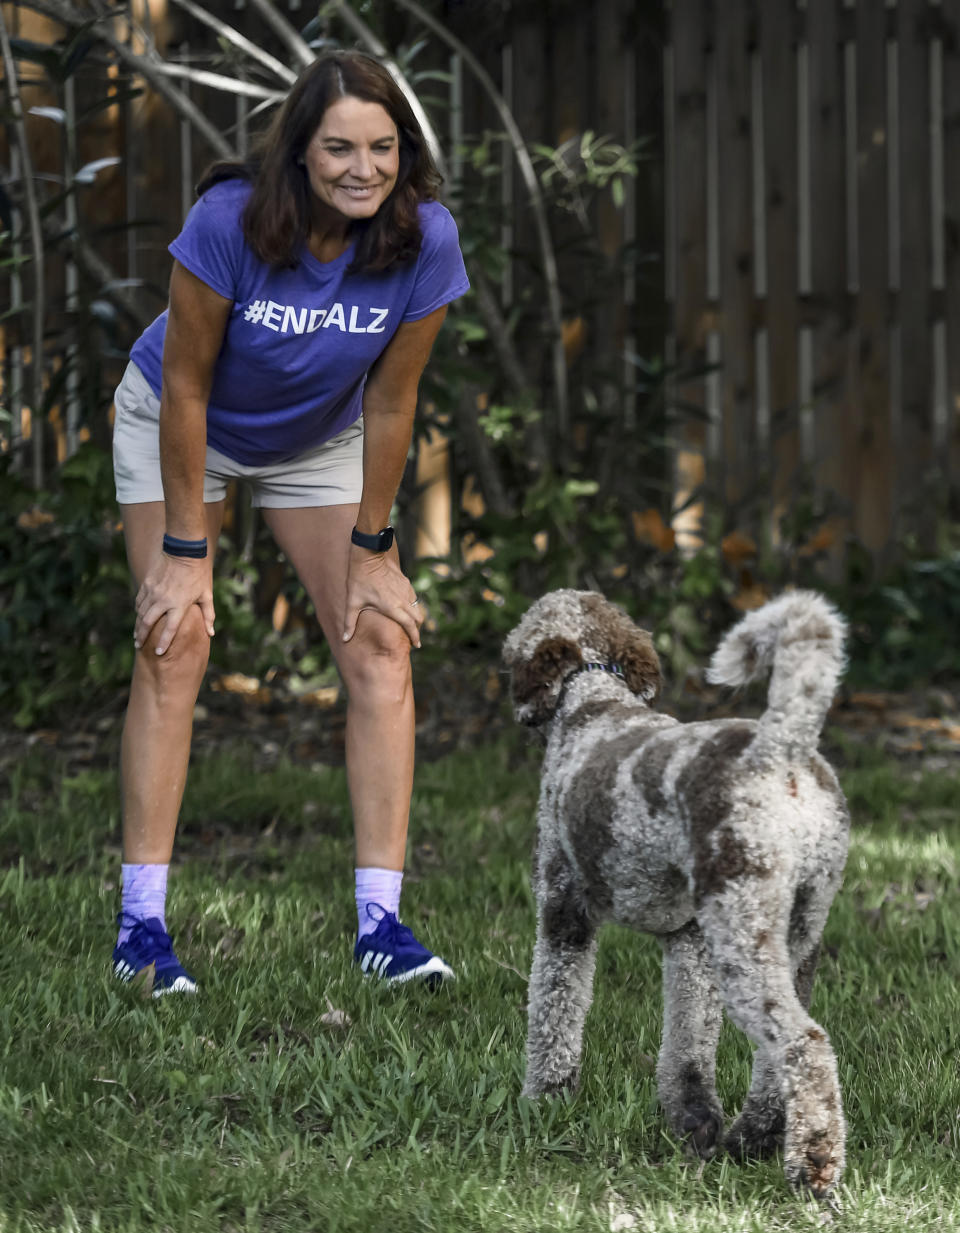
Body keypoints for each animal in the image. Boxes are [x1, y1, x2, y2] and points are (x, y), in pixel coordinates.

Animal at [502, 591, 847, 1198]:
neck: (593, 700)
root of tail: (783, 748)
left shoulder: (564, 914)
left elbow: (554, 1014)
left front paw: (544, 1102)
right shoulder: (689, 941)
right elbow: (687, 1047)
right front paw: (694, 1123)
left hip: (743, 939)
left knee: (803, 1044)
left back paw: (811, 1167)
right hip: (799, 931)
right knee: (775, 1057)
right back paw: (750, 1138)